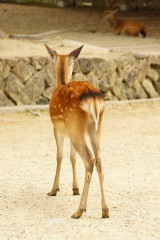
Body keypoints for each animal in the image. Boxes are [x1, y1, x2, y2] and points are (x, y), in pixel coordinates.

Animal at [44, 43, 110, 219]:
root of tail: (93, 100)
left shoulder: (57, 129)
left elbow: (59, 156)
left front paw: (53, 189)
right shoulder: (68, 130)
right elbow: (72, 158)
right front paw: (75, 188)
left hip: (76, 127)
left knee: (89, 160)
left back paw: (79, 210)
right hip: (96, 128)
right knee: (100, 161)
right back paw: (105, 210)